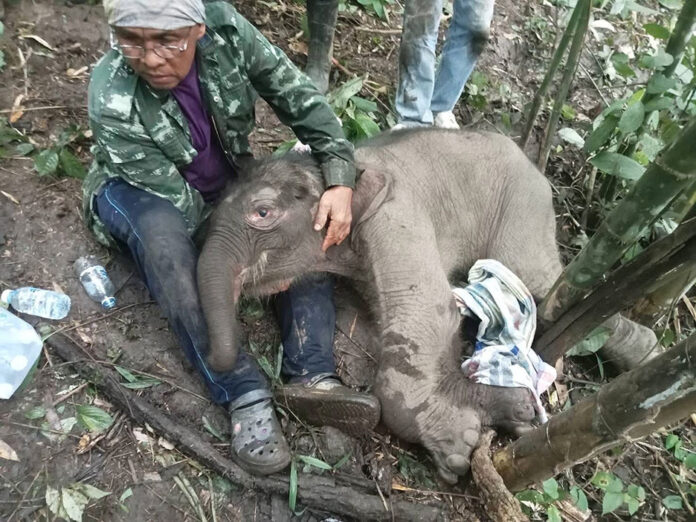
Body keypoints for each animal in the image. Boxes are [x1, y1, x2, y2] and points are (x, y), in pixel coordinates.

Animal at [197, 129, 563, 483]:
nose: (213, 357)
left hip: (525, 210)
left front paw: (457, 449)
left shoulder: (396, 214)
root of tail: (535, 167)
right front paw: (502, 414)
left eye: (262, 213)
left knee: (534, 276)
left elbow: (433, 310)